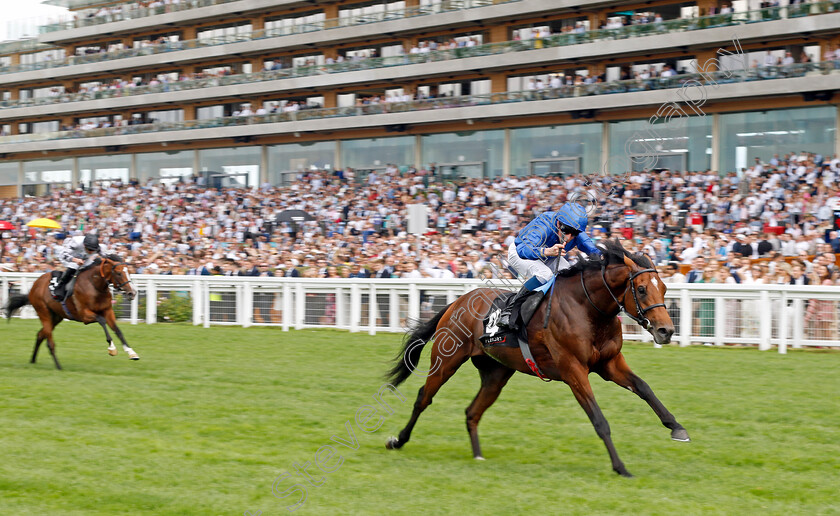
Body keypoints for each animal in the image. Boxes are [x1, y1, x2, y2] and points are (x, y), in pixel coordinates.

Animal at [4, 256, 139, 368]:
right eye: (119, 273)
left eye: (129, 272)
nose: (132, 293)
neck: (95, 285)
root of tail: (34, 286)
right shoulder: (84, 315)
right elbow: (101, 321)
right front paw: (112, 348)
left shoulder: (107, 311)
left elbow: (118, 330)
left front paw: (132, 353)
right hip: (43, 312)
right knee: (49, 341)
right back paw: (58, 366)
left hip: (56, 317)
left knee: (40, 335)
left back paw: (33, 360)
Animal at [388, 240, 688, 478]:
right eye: (641, 289)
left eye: (664, 288)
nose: (666, 331)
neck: (587, 308)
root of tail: (456, 303)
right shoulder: (573, 370)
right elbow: (599, 420)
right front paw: (620, 467)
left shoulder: (610, 363)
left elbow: (644, 388)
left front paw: (677, 428)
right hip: (446, 360)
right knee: (423, 397)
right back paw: (398, 440)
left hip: (496, 373)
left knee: (472, 411)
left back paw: (478, 454)